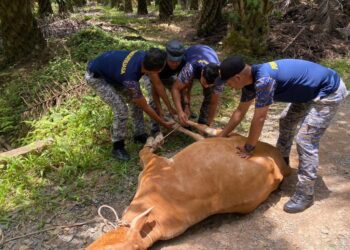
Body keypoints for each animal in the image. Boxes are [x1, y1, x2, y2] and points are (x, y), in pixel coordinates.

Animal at [87, 124, 290, 249]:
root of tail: (279, 165)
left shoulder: (154, 164)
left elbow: (144, 150)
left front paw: (154, 138)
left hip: (232, 138)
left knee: (207, 130)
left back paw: (175, 122)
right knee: (207, 134)